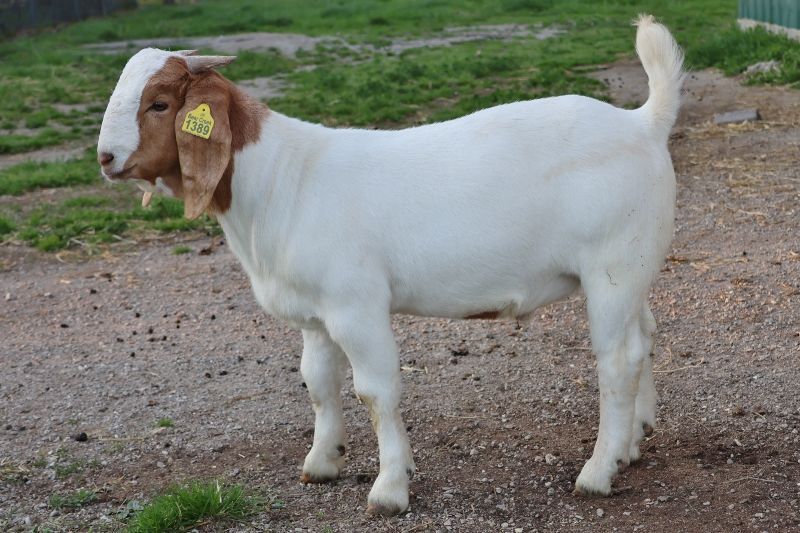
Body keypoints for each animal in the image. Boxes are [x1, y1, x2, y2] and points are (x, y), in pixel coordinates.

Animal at [97, 15, 684, 515]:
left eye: (159, 103)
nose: (105, 157)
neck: (282, 178)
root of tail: (643, 123)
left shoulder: (356, 305)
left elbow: (375, 392)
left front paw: (389, 489)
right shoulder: (315, 314)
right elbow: (317, 382)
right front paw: (322, 462)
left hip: (611, 266)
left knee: (617, 359)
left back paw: (598, 472)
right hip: (631, 269)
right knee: (645, 336)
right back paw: (633, 441)